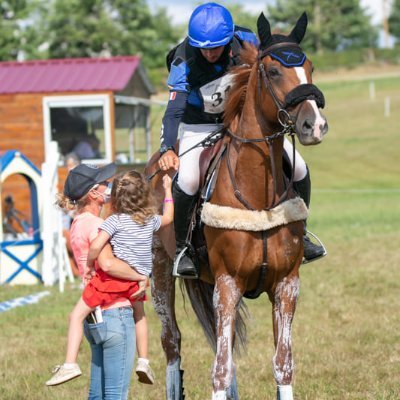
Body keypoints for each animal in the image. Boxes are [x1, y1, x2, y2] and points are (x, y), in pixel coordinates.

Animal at [146, 10, 328, 398]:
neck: (259, 196)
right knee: (173, 342)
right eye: (272, 71)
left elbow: (282, 364)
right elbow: (219, 368)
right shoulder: (228, 284)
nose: (314, 125)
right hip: (160, 272)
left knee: (220, 343)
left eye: (311, 67)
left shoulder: (286, 285)